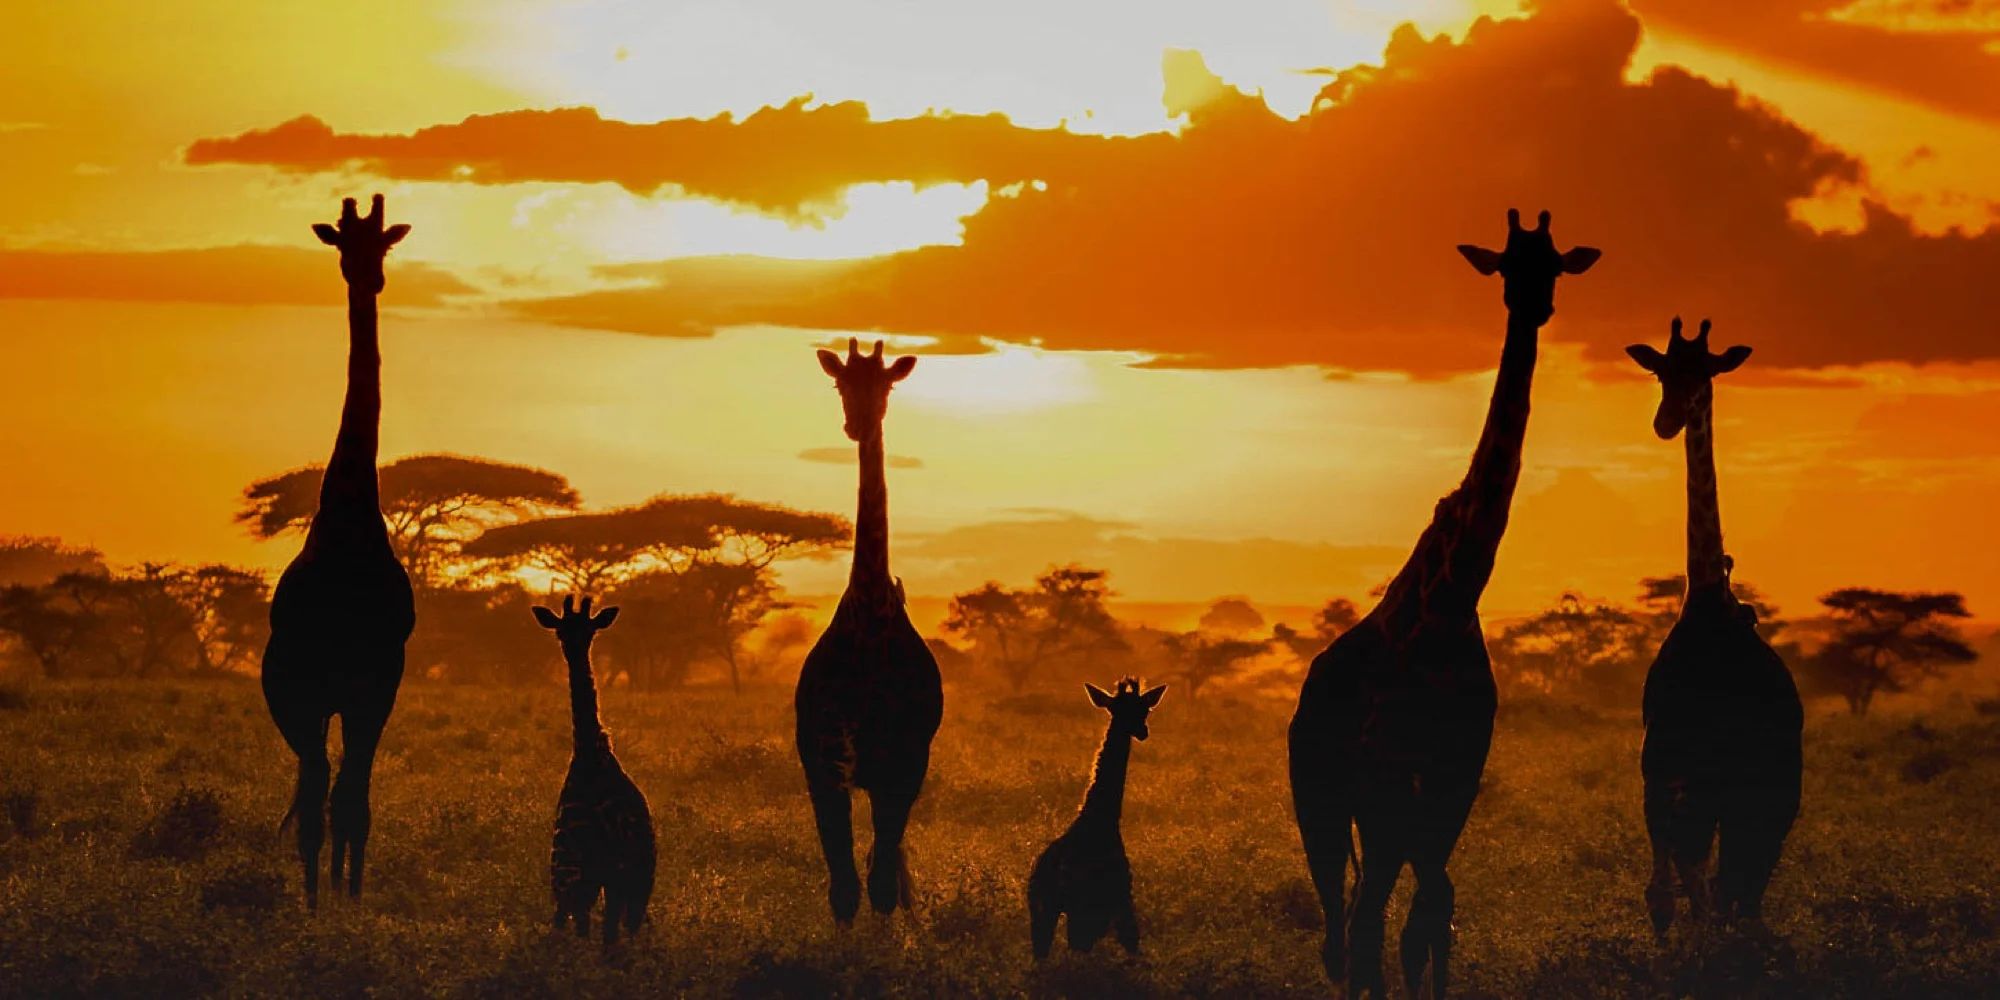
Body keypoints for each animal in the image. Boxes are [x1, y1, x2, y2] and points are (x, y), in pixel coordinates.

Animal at [535, 594, 656, 945]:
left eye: (586, 632)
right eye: (562, 630)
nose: (571, 649)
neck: (591, 751)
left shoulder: (568, 873)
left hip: (576, 875)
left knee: (579, 926)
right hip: (636, 881)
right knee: (619, 933)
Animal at [794, 338, 944, 925]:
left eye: (888, 386)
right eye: (841, 383)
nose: (858, 424)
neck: (871, 618)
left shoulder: (901, 763)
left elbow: (878, 884)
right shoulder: (826, 761)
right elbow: (844, 887)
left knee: (887, 861)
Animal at [1027, 678, 1166, 960]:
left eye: (1144, 709)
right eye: (1119, 710)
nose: (1142, 731)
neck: (1100, 819)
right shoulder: (1112, 903)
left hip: (1043, 910)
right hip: (1074, 911)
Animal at [1289, 209, 1599, 998]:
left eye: (1554, 265)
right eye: (1506, 266)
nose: (1532, 305)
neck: (1454, 600)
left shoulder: (1456, 778)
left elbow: (1431, 915)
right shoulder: (1388, 778)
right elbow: (1388, 923)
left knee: (1374, 918)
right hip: (1322, 796)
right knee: (1343, 926)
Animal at [1626, 318, 1802, 939]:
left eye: (1705, 374)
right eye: (1660, 372)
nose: (1665, 420)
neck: (1705, 600)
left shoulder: (1719, 778)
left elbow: (1708, 882)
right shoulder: (1659, 766)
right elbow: (1669, 888)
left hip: (1773, 784)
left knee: (1745, 879)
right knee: (1719, 875)